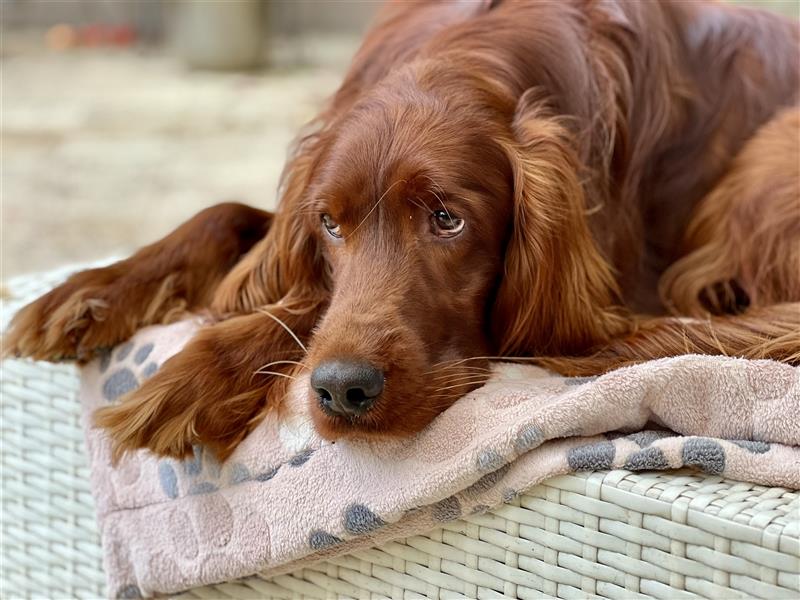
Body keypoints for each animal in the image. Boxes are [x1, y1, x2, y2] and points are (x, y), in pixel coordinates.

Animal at [6, 0, 800, 462]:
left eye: (448, 219)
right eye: (330, 222)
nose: (342, 391)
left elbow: (302, 306)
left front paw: (189, 381)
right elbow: (234, 221)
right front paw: (87, 295)